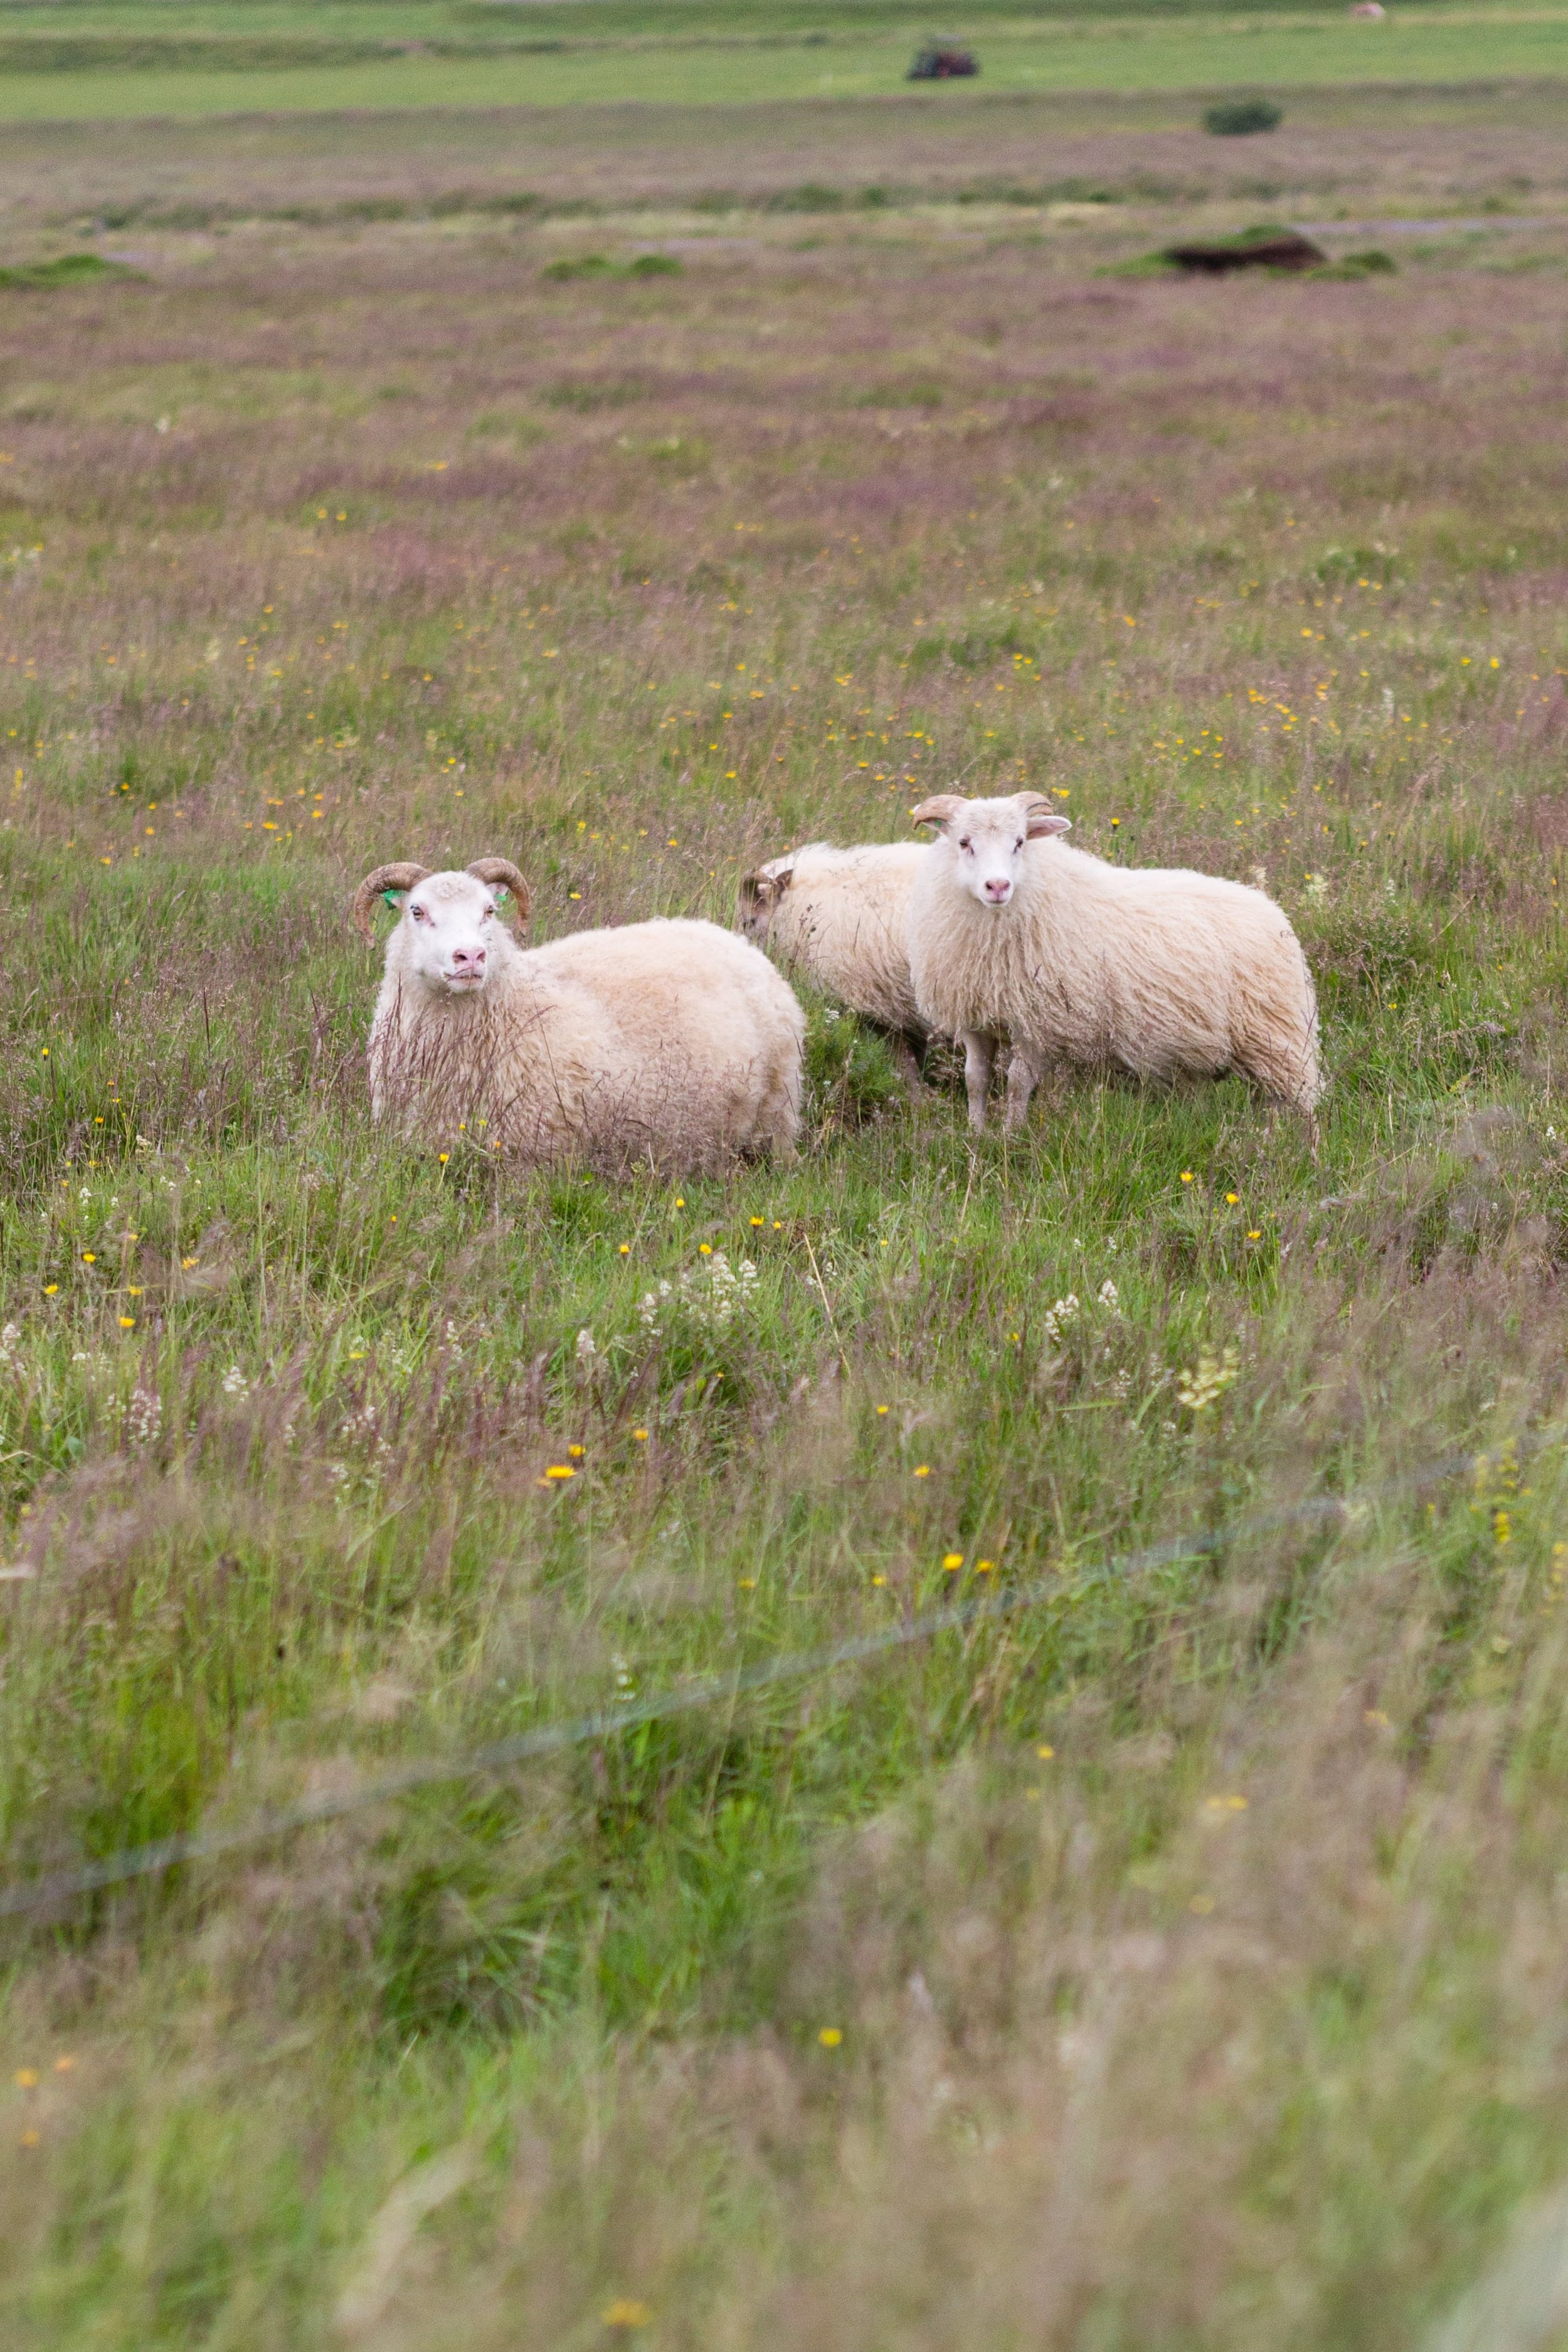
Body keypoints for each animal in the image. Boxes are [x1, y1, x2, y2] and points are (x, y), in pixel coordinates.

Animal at [907, 795, 1325, 1143]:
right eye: (964, 842)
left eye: (1020, 842)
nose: (997, 886)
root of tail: (1271, 909)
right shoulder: (976, 1018)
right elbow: (976, 1080)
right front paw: (976, 1136)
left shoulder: (1040, 1023)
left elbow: (1017, 1084)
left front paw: (1011, 1137)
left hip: (1279, 1039)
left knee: (1302, 1105)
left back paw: (1303, 1154)